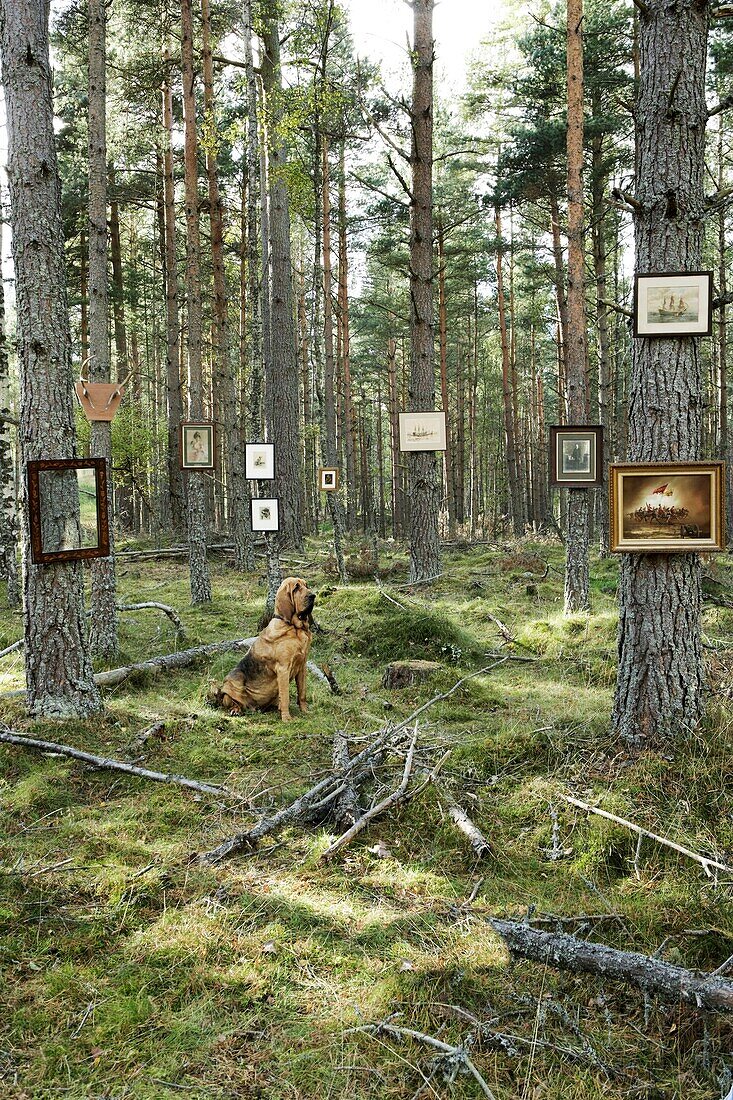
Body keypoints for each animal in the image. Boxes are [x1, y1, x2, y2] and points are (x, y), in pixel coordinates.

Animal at [208, 576, 316, 721]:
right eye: (296, 588)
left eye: (306, 585)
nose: (313, 596)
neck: (295, 628)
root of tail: (254, 708)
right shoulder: (283, 669)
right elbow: (286, 697)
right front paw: (287, 718)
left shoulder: (302, 667)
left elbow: (302, 693)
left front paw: (305, 711)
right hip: (231, 684)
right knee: (232, 701)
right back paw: (236, 710)